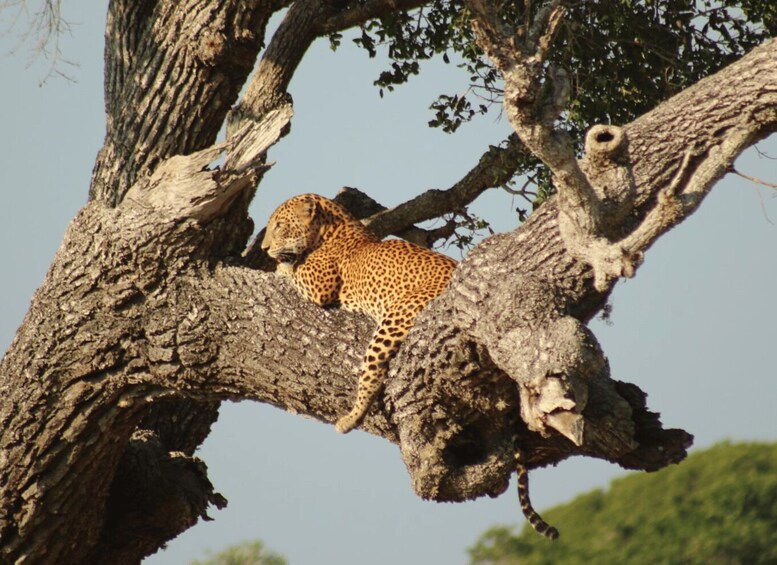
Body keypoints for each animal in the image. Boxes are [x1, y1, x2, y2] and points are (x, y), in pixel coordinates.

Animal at [262, 193, 559, 539]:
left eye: (279, 225)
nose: (263, 248)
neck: (333, 227)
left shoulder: (319, 285)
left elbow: (293, 270)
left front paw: (280, 263)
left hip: (395, 317)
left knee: (371, 373)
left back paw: (350, 418)